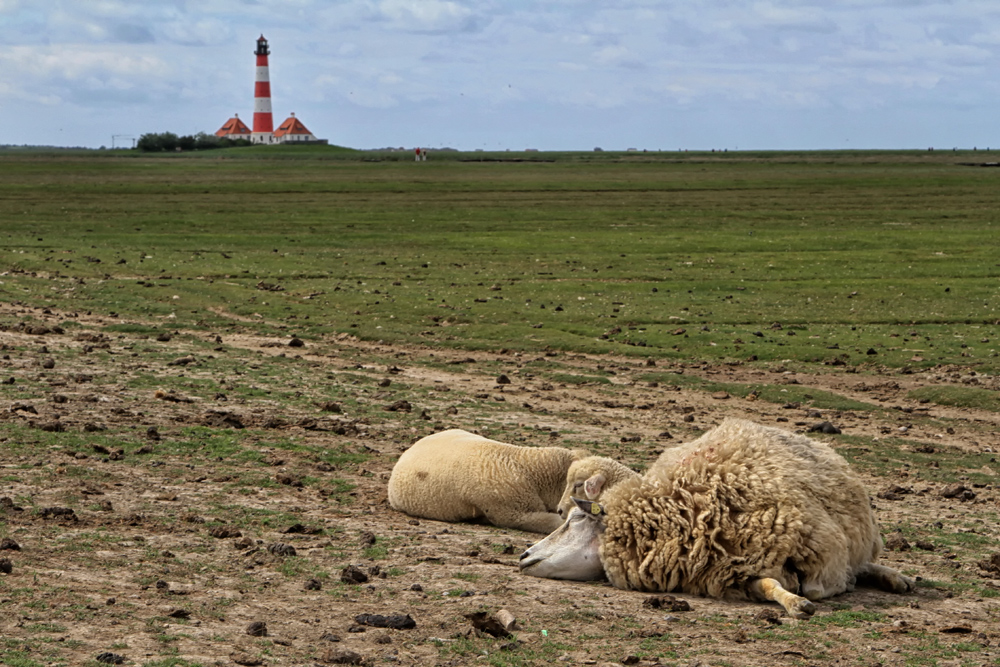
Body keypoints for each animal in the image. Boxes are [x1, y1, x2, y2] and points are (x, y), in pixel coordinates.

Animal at [520, 420, 916, 620]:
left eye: (575, 520)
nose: (523, 556)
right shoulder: (731, 573)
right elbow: (768, 586)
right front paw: (793, 600)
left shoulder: (819, 550)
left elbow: (819, 586)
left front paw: (811, 595)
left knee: (862, 564)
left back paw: (896, 578)